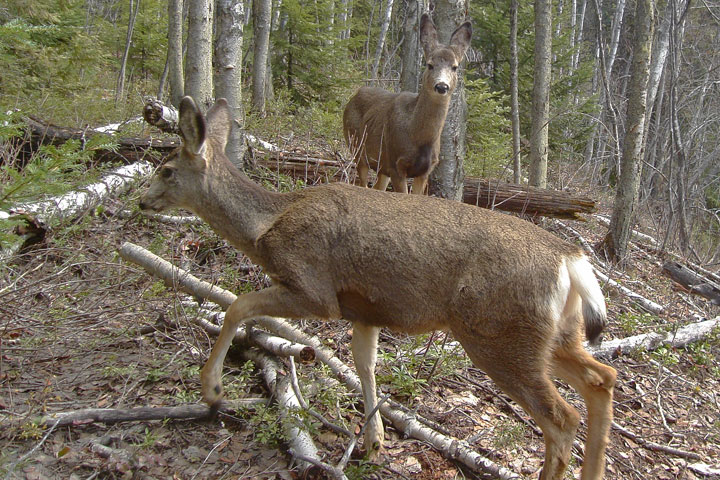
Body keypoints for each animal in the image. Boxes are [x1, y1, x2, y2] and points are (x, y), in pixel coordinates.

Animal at [142, 94, 620, 480]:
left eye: (166, 169)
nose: (143, 200)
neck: (268, 225)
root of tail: (571, 260)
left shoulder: (314, 288)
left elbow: (238, 306)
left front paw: (211, 389)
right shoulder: (366, 309)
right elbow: (365, 365)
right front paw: (373, 443)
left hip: (499, 335)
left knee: (563, 417)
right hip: (550, 336)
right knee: (602, 378)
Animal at [344, 15, 472, 195]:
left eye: (454, 67)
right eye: (429, 64)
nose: (441, 86)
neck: (418, 137)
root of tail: (354, 96)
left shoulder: (425, 171)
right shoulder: (396, 164)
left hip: (381, 167)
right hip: (357, 148)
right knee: (362, 183)